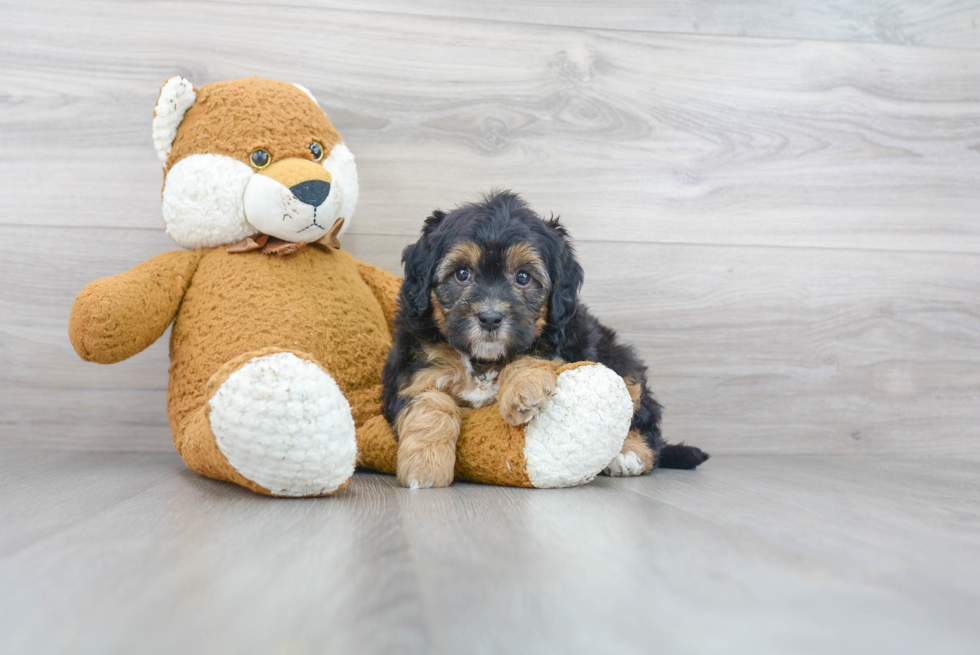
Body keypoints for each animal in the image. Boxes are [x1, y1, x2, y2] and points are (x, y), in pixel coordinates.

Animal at [378, 190, 708, 486]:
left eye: (523, 277)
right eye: (461, 274)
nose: (490, 318)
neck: (484, 361)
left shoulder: (567, 341)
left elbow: (532, 354)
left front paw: (523, 388)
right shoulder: (412, 373)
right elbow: (430, 403)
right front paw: (426, 466)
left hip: (617, 357)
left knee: (643, 413)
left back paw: (630, 454)